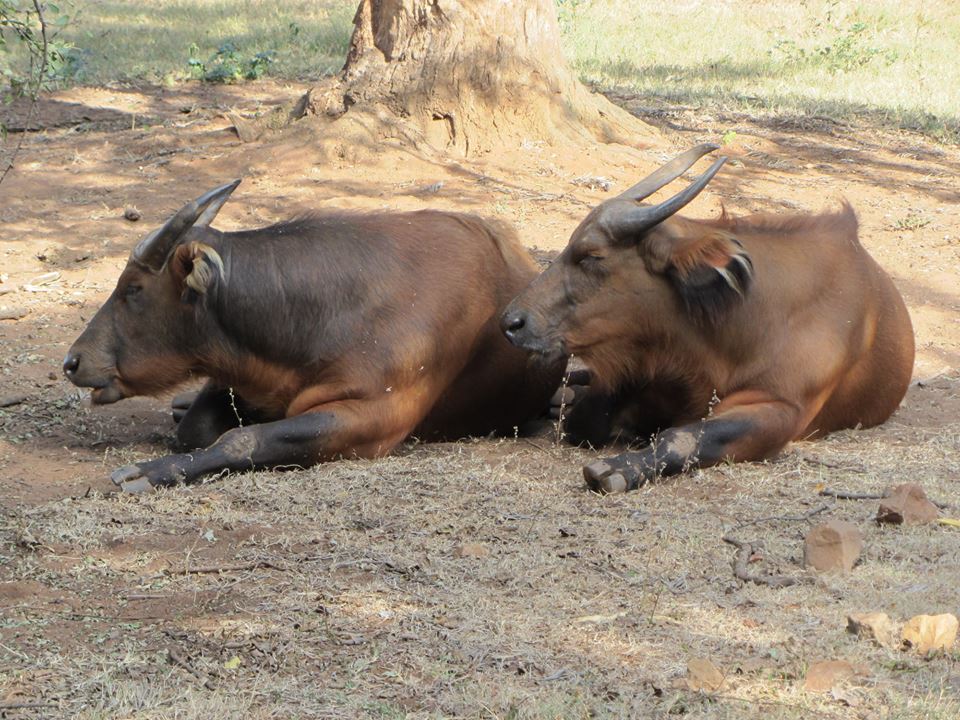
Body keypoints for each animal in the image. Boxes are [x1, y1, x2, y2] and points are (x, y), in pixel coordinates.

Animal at [64, 181, 564, 492]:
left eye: (133, 289)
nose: (73, 361)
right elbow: (197, 430)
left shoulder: (371, 417)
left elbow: (242, 439)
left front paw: (148, 472)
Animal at [501, 144, 914, 492]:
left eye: (591, 256)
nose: (511, 322)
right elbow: (586, 419)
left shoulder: (781, 410)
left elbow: (682, 435)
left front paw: (619, 469)